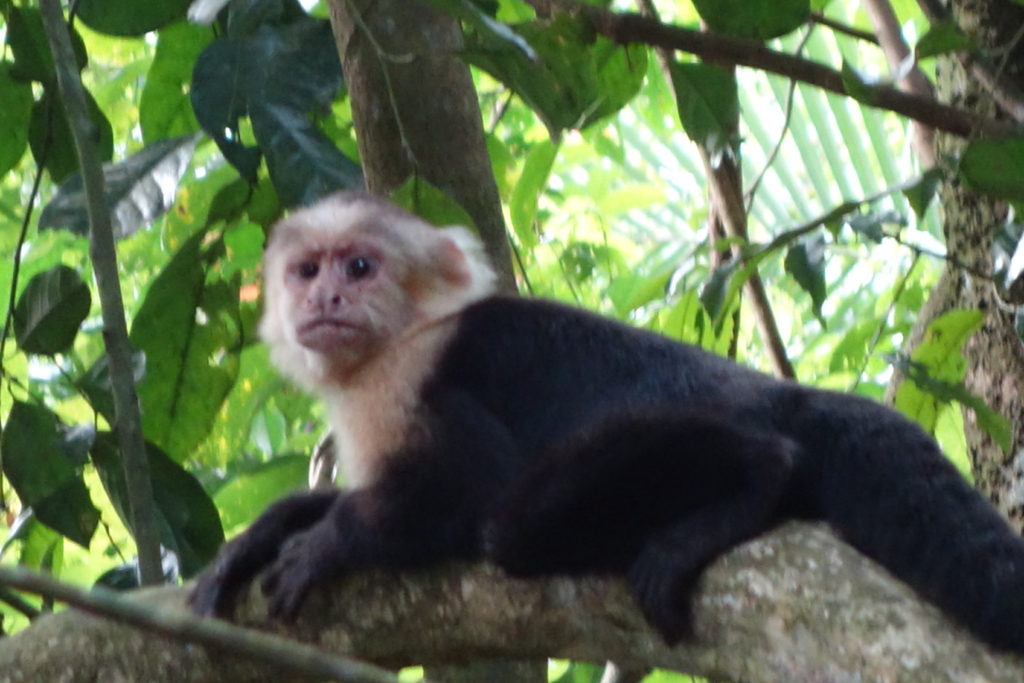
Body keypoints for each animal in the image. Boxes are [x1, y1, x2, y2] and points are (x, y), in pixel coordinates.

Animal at [190, 191, 1024, 654]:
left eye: (359, 267)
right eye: (307, 270)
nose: (324, 299)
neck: (395, 346)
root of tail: (786, 395)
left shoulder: (418, 377)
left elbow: (461, 490)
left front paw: (329, 542)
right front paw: (262, 534)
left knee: (513, 524)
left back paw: (755, 474)